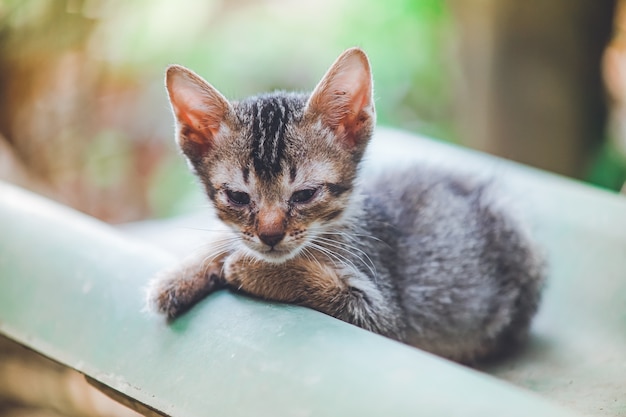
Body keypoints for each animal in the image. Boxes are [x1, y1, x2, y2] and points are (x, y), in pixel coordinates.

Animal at [146, 48, 540, 360]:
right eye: (238, 197)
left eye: (305, 195)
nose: (270, 235)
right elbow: (225, 241)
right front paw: (183, 273)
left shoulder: (382, 313)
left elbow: (323, 287)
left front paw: (255, 269)